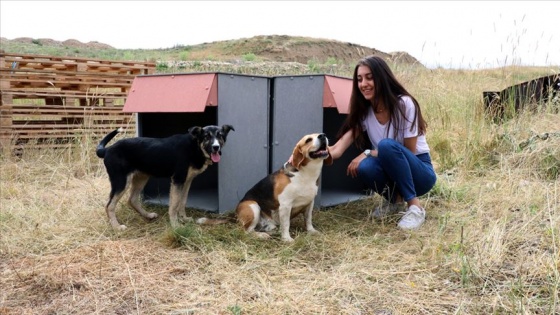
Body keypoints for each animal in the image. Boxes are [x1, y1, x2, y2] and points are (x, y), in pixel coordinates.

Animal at [95, 124, 234, 231]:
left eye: (220, 136)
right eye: (206, 137)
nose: (216, 147)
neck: (195, 146)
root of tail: (107, 150)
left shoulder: (187, 181)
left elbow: (182, 201)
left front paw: (184, 219)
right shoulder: (177, 180)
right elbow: (174, 205)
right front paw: (176, 225)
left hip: (141, 178)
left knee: (132, 199)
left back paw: (147, 215)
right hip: (121, 181)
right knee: (109, 206)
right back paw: (116, 227)